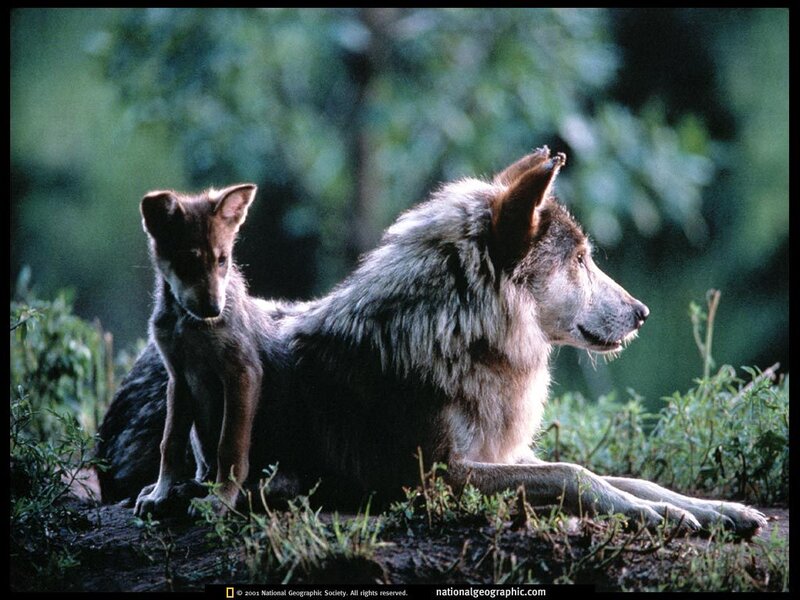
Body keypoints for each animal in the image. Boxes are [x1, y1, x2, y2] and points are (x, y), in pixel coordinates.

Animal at [97, 147, 766, 535]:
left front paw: (712, 511)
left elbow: (626, 478)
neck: (458, 338)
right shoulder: (438, 478)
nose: (643, 313)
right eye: (579, 260)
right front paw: (662, 516)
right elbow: (574, 474)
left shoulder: (502, 455)